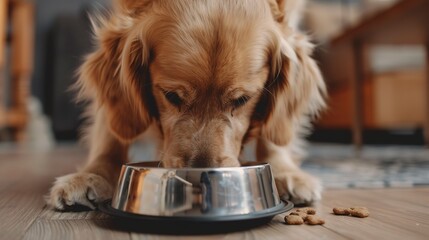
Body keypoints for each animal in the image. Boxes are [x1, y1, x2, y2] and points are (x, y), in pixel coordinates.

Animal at [46, 0, 326, 210]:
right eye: (171, 96)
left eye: (242, 100)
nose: (201, 174)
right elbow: (114, 128)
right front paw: (93, 174)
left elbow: (274, 128)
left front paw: (283, 171)